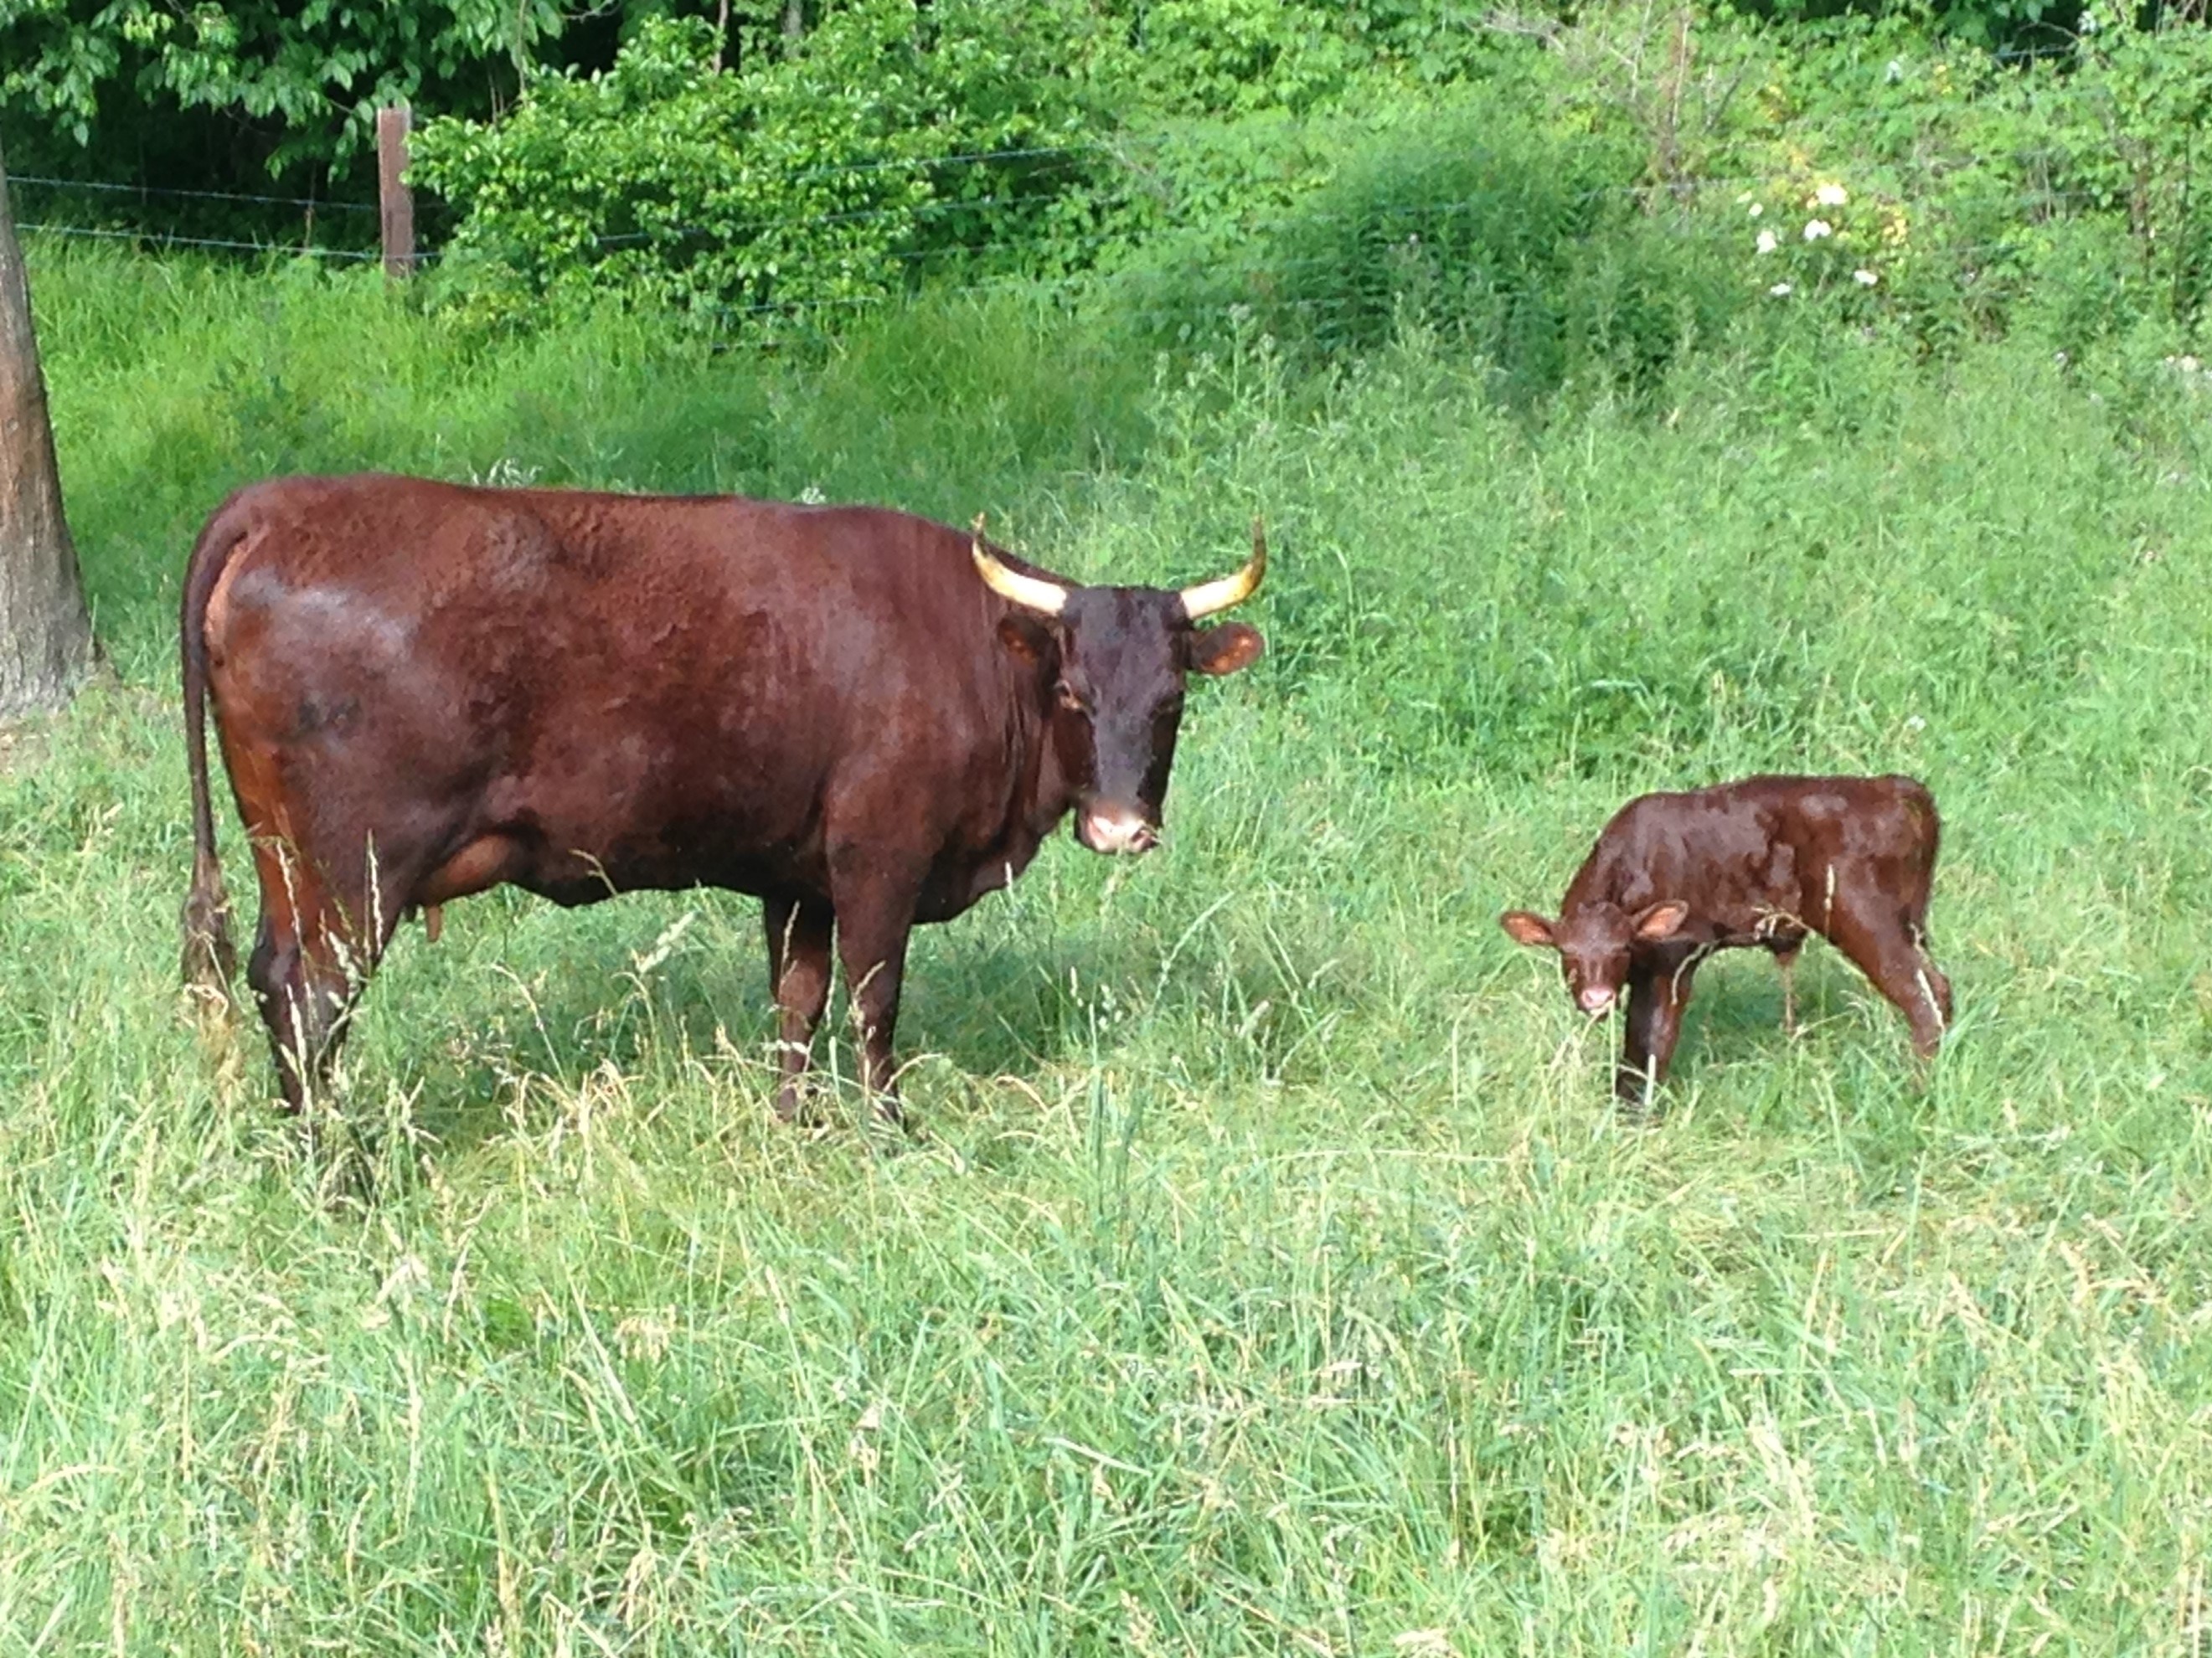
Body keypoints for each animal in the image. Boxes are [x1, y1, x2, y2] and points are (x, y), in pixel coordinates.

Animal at [177, 479, 1265, 1131]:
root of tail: (283, 501)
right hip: (357, 869)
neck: (967, 648)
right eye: (1073, 694)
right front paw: (889, 1130)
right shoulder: (880, 859)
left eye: (1169, 701)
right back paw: (344, 1176)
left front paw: (792, 1124)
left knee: (272, 982)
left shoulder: (800, 874)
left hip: (287, 860)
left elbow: (797, 999)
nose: (1119, 827)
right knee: (311, 1001)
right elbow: (874, 1003)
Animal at [1495, 778, 1946, 1110]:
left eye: (1621, 948)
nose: (1596, 997)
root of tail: (1890, 786)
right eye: (1567, 952)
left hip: (1864, 915)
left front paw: (1636, 1113)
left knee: (1922, 995)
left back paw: (1917, 1089)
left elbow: (1652, 1036)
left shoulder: (1674, 959)